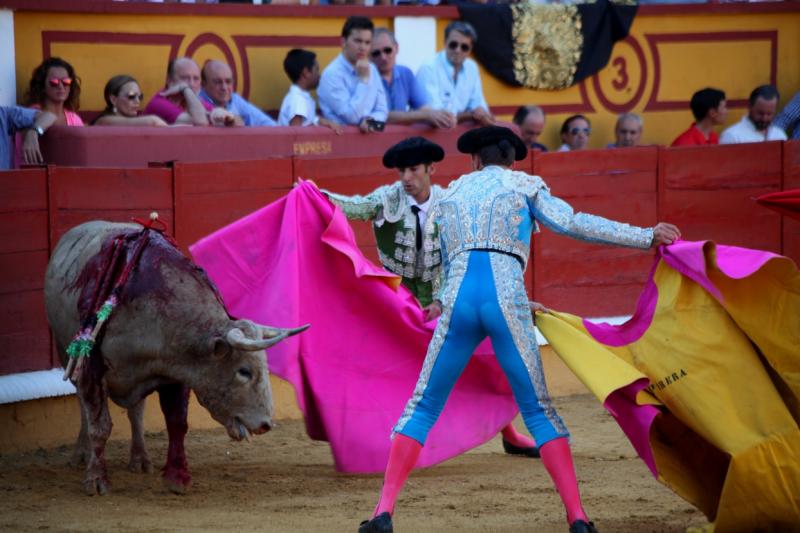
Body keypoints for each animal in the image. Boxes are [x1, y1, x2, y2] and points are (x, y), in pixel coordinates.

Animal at [43, 220, 308, 494]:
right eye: (244, 371)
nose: (266, 424)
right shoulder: (91, 369)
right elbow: (100, 425)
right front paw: (96, 480)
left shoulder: (176, 370)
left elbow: (177, 423)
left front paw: (177, 477)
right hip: (65, 354)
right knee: (83, 404)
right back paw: (82, 454)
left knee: (137, 410)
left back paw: (140, 458)